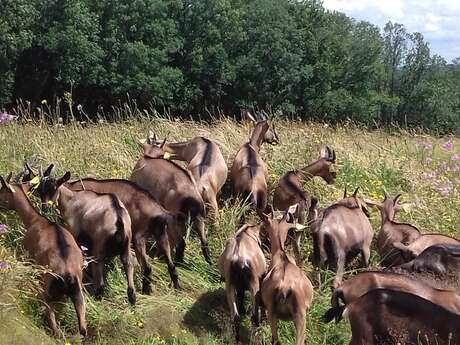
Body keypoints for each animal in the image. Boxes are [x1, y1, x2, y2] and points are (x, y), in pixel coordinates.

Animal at [0, 173, 86, 334]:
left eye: (1, 191)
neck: (36, 220)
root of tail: (68, 275)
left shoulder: (25, 254)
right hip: (77, 290)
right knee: (82, 327)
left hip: (47, 286)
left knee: (53, 322)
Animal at [36, 171, 137, 302]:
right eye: (40, 189)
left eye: (54, 188)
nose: (45, 207)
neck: (72, 199)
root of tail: (118, 219)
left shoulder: (74, 232)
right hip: (126, 243)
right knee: (128, 262)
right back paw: (132, 297)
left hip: (99, 243)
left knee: (98, 265)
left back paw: (97, 294)